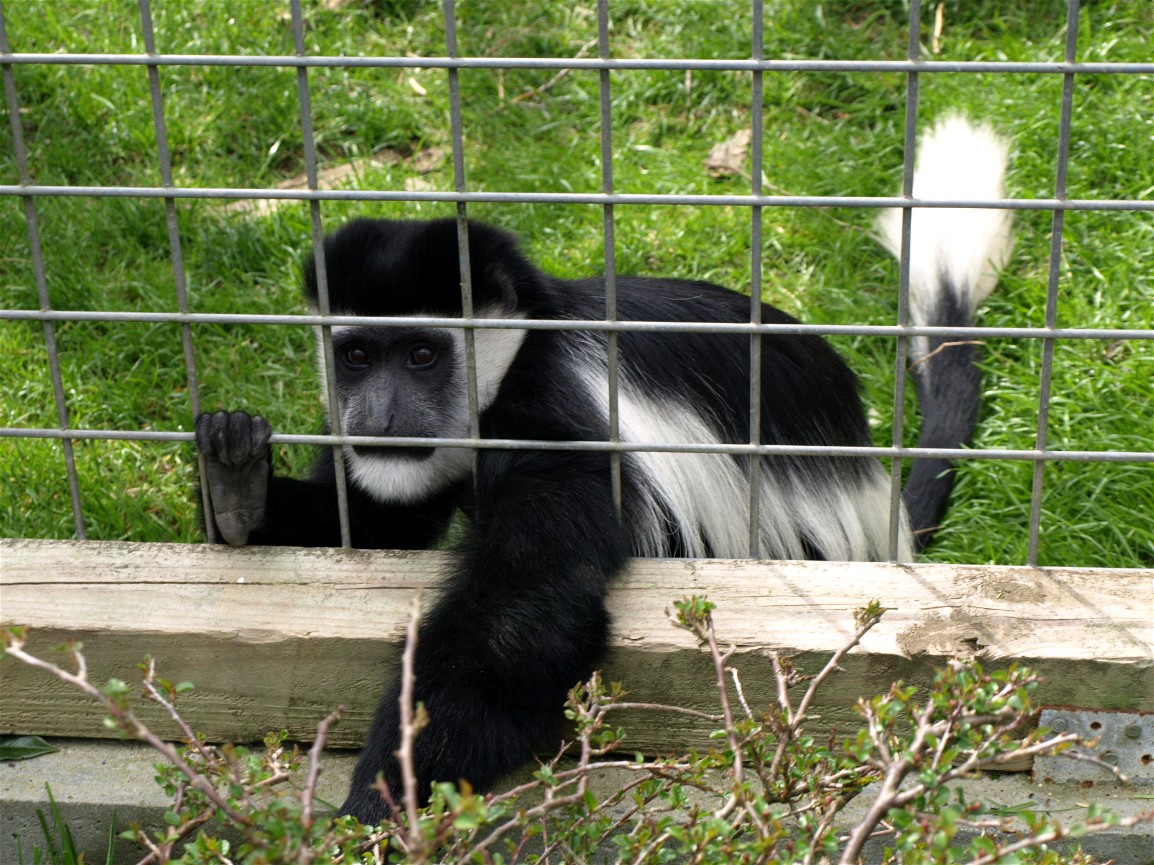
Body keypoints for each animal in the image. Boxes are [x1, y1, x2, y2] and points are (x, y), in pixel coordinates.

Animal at [196, 116, 1011, 824]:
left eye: (423, 354)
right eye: (358, 355)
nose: (379, 416)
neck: (520, 352)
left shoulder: (559, 425)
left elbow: (523, 615)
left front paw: (379, 799)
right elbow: (375, 525)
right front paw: (239, 487)